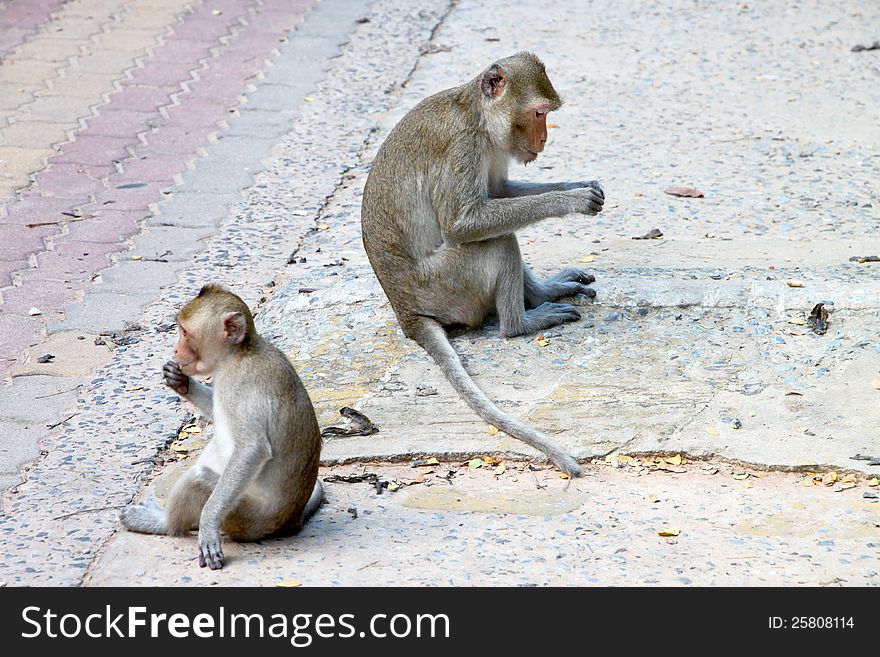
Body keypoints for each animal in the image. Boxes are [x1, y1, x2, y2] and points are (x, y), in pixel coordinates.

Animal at [118, 284, 322, 568]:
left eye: (184, 333)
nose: (175, 351)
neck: (238, 353)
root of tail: (291, 521)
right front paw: (181, 382)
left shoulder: (239, 384)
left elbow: (252, 449)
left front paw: (208, 523)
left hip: (245, 517)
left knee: (200, 478)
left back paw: (163, 523)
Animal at [360, 50, 604, 472]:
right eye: (539, 113)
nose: (544, 138)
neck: (475, 115)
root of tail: (405, 311)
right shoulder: (463, 146)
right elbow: (464, 224)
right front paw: (571, 200)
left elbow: (500, 192)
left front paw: (579, 184)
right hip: (449, 284)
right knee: (499, 240)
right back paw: (521, 324)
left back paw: (543, 294)